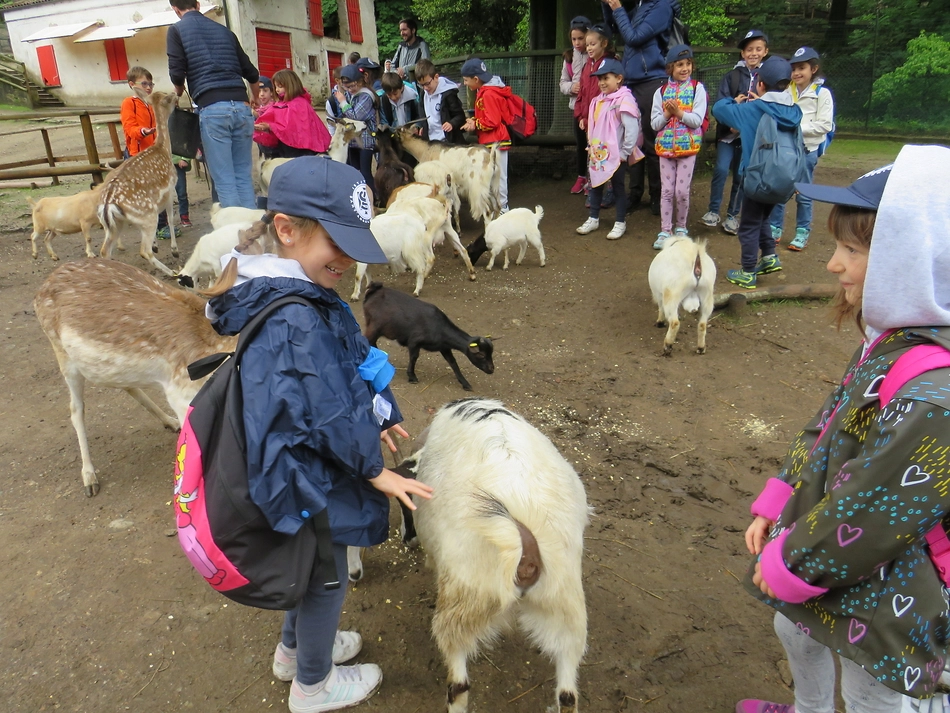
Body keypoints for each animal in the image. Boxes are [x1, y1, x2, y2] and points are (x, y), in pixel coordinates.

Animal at [34, 258, 236, 496]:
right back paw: (89, 478)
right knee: (76, 409)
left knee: (127, 386)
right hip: (64, 356)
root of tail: (41, 290)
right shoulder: (181, 392)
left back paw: (169, 422)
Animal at [98, 88, 182, 276]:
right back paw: (172, 273)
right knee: (144, 251)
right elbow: (171, 218)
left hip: (114, 223)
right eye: (168, 98)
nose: (177, 95)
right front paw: (174, 250)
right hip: (146, 213)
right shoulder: (170, 190)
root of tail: (108, 203)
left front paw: (157, 245)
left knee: (104, 251)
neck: (164, 148)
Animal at [364, 280, 494, 390]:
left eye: (490, 354)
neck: (439, 327)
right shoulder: (414, 342)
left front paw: (465, 383)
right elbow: (414, 357)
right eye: (481, 355)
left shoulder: (444, 347)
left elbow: (453, 362)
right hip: (374, 327)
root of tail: (373, 292)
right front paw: (412, 377)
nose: (492, 369)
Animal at [400, 398, 588, 712]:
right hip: (564, 603)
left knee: (459, 684)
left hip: (466, 601)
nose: (407, 538)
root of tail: (524, 549)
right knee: (567, 694)